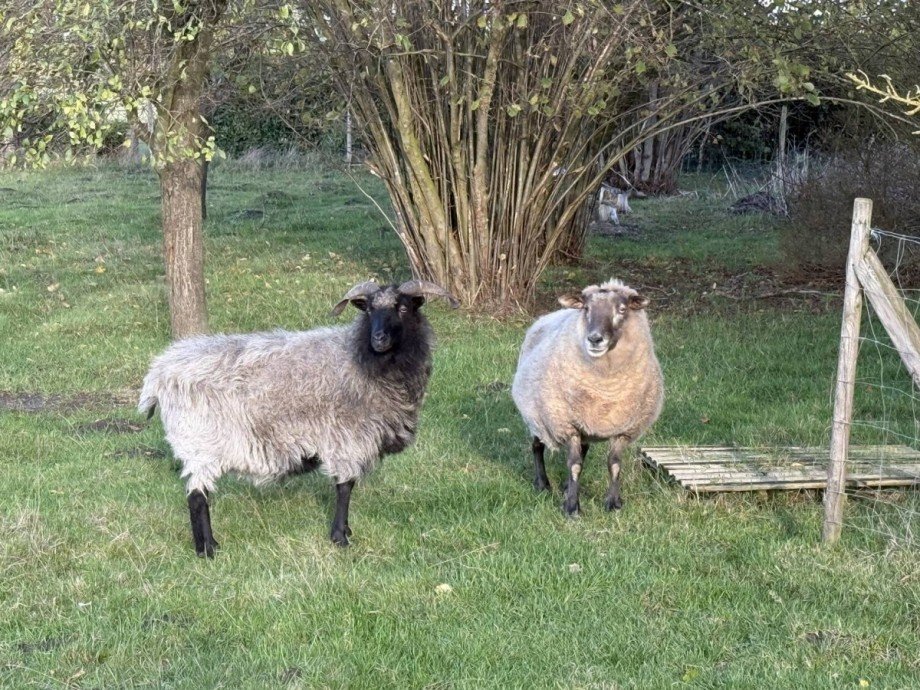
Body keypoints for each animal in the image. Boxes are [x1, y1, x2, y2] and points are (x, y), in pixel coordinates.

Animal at [138, 280, 458, 556]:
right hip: (200, 440)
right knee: (196, 496)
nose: (378, 338)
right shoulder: (348, 436)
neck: (362, 358)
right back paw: (207, 550)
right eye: (368, 309)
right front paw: (340, 537)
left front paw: (345, 532)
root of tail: (158, 374)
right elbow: (345, 487)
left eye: (403, 308)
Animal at [511, 279, 663, 515]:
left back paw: (566, 486)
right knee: (537, 446)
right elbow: (574, 465)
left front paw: (613, 503)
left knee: (583, 449)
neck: (607, 387)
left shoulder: (624, 429)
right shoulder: (566, 423)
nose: (594, 339)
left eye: (622, 309)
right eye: (586, 308)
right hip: (538, 414)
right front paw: (572, 507)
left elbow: (614, 464)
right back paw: (543, 483)